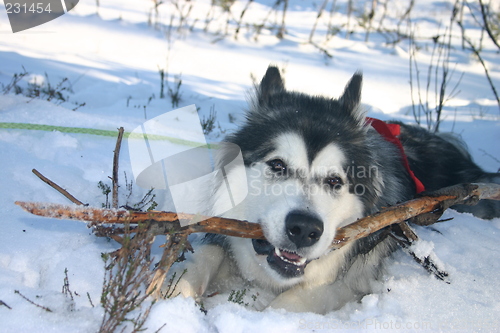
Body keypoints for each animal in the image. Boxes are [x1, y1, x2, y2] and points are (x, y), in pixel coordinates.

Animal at [165, 66, 500, 312]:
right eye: (277, 165)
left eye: (335, 181)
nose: (304, 229)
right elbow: (204, 255)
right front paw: (175, 288)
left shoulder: (351, 278)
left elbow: (295, 300)